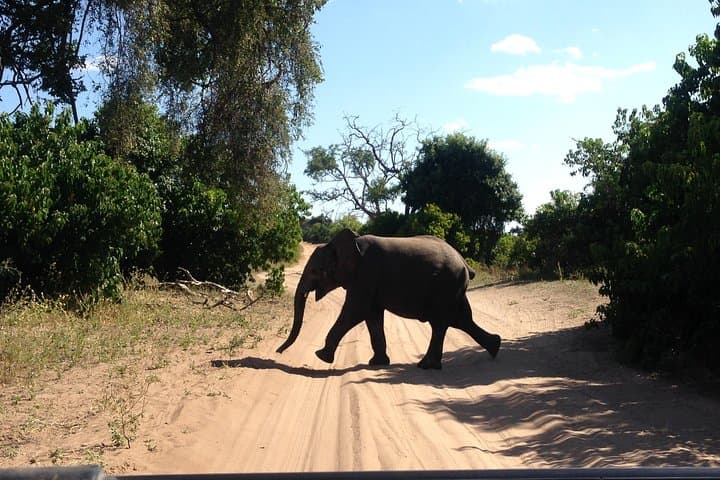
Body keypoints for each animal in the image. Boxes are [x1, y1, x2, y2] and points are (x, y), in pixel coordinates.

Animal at [276, 229, 501, 369]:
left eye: (316, 271)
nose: (278, 352)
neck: (350, 244)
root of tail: (464, 263)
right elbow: (372, 315)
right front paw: (377, 363)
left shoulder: (367, 272)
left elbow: (356, 310)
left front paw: (321, 356)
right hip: (453, 289)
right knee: (461, 320)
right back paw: (495, 347)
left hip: (447, 287)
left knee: (441, 323)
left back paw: (426, 366)